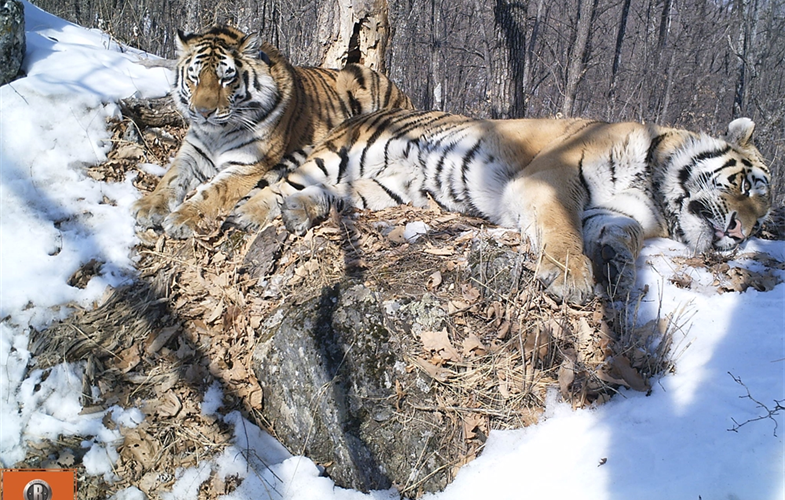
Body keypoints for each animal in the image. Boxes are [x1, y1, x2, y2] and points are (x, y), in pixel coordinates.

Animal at [132, 25, 414, 240]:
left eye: (226, 78)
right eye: (194, 77)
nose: (203, 112)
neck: (217, 133)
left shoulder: (249, 166)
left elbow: (213, 192)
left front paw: (181, 218)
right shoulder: (192, 153)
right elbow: (170, 178)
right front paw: (147, 207)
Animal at [224, 110, 768, 304]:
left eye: (763, 218)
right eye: (747, 185)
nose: (741, 235)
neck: (653, 189)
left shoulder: (616, 213)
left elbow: (621, 235)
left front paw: (615, 264)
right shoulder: (551, 179)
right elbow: (561, 229)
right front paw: (571, 278)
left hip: (384, 189)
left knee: (330, 196)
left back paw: (300, 212)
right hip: (342, 154)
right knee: (277, 184)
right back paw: (250, 214)